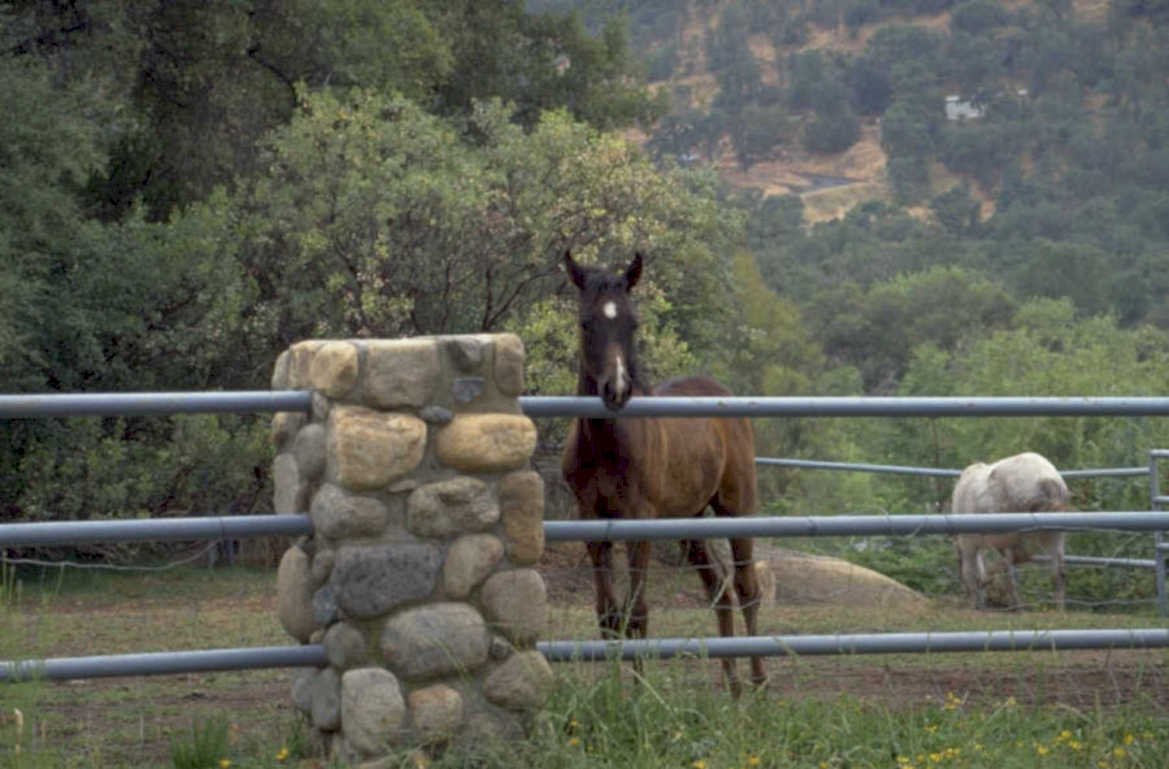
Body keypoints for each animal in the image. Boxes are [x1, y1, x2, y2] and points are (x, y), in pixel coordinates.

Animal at [560, 251, 766, 695]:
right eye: (586, 323)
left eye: (632, 323)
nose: (616, 390)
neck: (607, 443)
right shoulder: (591, 523)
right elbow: (609, 616)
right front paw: (615, 694)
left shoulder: (640, 522)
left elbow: (637, 613)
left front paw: (640, 696)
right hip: (690, 520)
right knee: (719, 589)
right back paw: (733, 687)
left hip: (736, 506)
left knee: (746, 588)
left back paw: (759, 684)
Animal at [951, 451, 1068, 611]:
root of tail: (1048, 478)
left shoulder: (969, 542)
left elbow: (971, 573)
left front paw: (976, 602)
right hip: (1054, 533)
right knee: (1058, 573)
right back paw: (1059, 609)